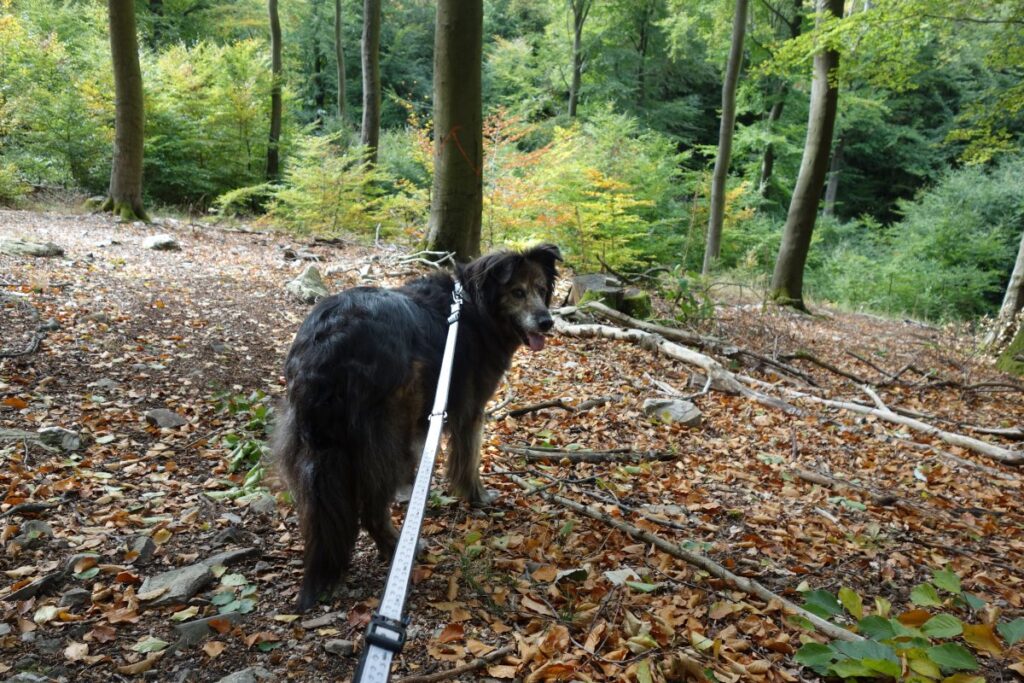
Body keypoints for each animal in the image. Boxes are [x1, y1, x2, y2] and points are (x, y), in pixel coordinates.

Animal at [272, 244, 561, 610]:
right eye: (517, 292)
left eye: (541, 289)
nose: (547, 322)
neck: (473, 306)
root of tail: (329, 340)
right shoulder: (470, 410)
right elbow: (469, 460)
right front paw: (477, 496)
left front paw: (411, 493)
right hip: (389, 428)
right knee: (370, 509)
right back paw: (399, 547)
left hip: (314, 448)